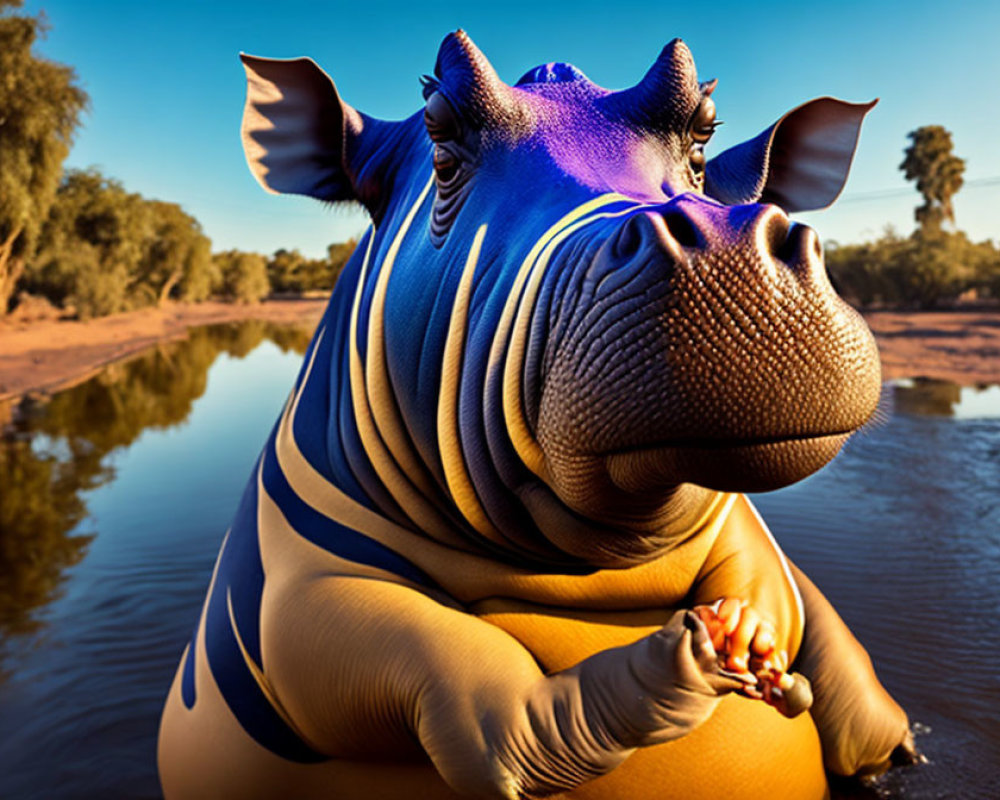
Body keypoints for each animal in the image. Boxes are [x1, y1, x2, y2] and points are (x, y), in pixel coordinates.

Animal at [158, 31, 919, 799]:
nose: (727, 254)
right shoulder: (299, 604)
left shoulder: (744, 530)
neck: (600, 562)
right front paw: (692, 656)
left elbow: (774, 584)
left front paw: (748, 631)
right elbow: (472, 693)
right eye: (440, 143)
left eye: (704, 142)